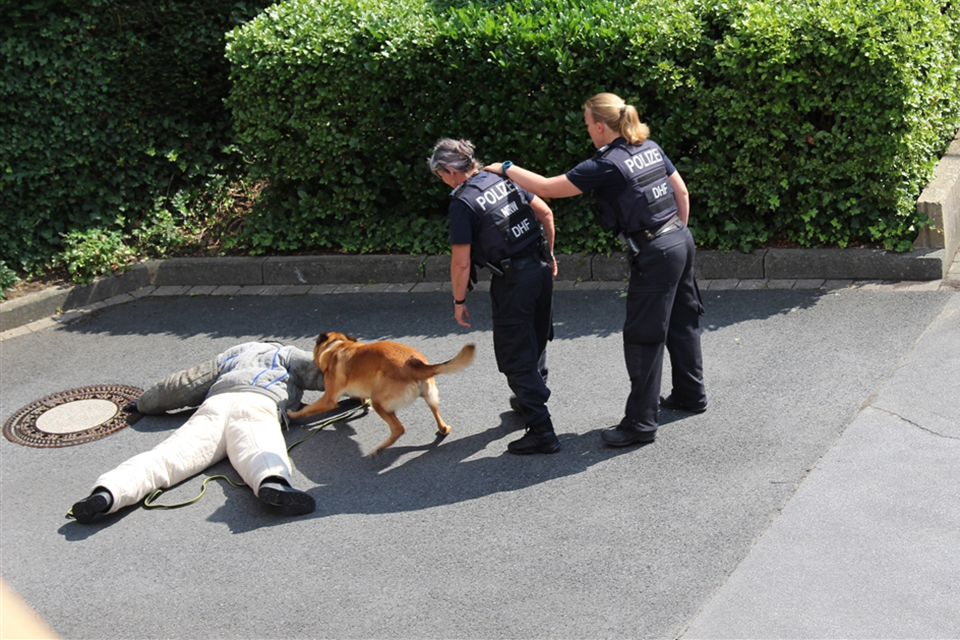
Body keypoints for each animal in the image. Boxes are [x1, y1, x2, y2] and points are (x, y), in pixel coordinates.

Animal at [288, 332, 476, 452]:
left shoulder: (328, 399)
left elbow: (308, 409)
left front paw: (293, 414)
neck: (336, 346)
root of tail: (415, 365)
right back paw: (443, 429)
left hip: (380, 402)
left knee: (398, 428)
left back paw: (379, 449)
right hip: (430, 397)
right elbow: (361, 398)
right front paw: (364, 406)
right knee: (437, 416)